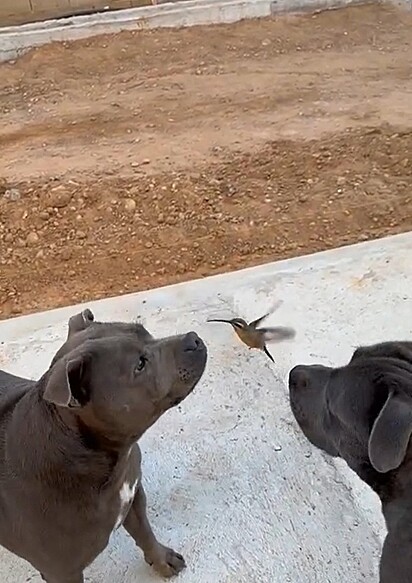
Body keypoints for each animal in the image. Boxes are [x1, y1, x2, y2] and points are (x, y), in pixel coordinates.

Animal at [0, 308, 206, 580]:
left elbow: (145, 533)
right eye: (140, 364)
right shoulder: (62, 572)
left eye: (146, 333)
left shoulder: (132, 495)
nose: (193, 339)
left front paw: (162, 560)